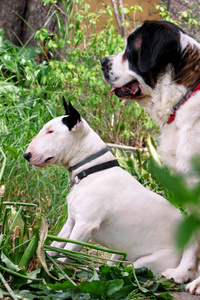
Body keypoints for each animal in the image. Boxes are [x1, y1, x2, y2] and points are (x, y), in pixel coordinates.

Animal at [24, 98, 183, 274]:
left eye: (50, 131)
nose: (26, 155)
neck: (91, 171)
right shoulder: (71, 222)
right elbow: (55, 246)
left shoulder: (85, 226)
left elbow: (66, 253)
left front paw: (56, 272)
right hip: (120, 253)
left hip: (146, 263)